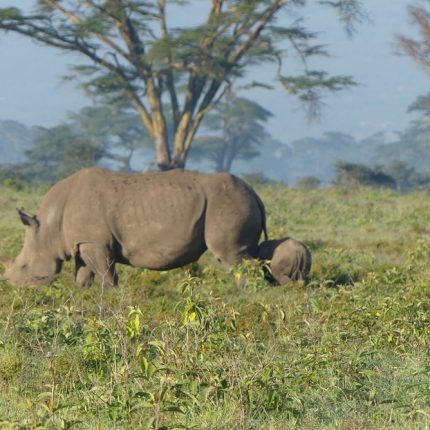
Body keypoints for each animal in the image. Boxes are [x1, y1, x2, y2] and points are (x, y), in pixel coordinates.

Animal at [3, 168, 268, 288]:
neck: (49, 227)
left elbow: (107, 276)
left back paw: (246, 294)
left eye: (24, 266)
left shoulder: (95, 243)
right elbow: (82, 276)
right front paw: (82, 296)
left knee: (234, 256)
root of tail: (254, 192)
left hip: (227, 201)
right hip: (234, 200)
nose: (13, 286)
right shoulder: (84, 242)